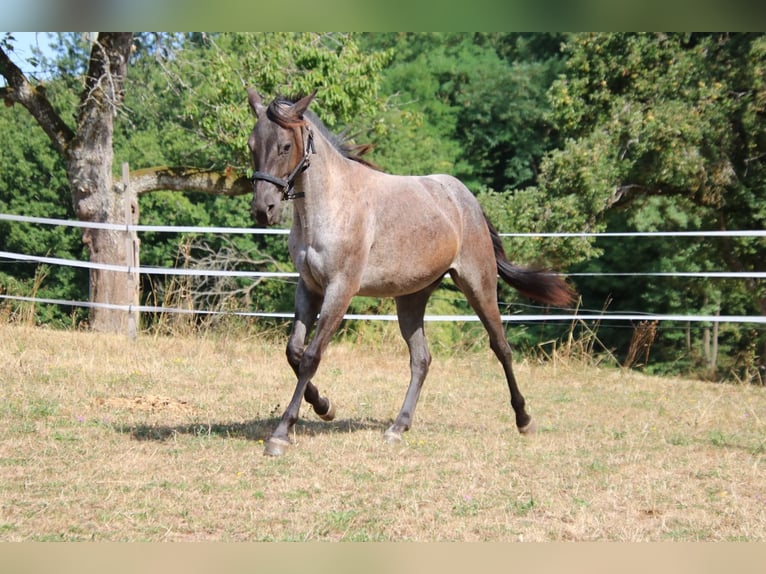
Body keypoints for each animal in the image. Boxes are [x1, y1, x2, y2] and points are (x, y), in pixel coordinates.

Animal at [247, 88, 575, 457]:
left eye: (285, 146)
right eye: (251, 145)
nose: (263, 209)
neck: (331, 206)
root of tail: (465, 198)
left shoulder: (339, 290)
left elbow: (310, 357)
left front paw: (281, 433)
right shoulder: (309, 287)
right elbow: (293, 352)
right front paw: (325, 406)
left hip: (478, 284)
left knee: (500, 346)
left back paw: (524, 419)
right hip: (411, 299)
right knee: (421, 359)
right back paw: (398, 427)